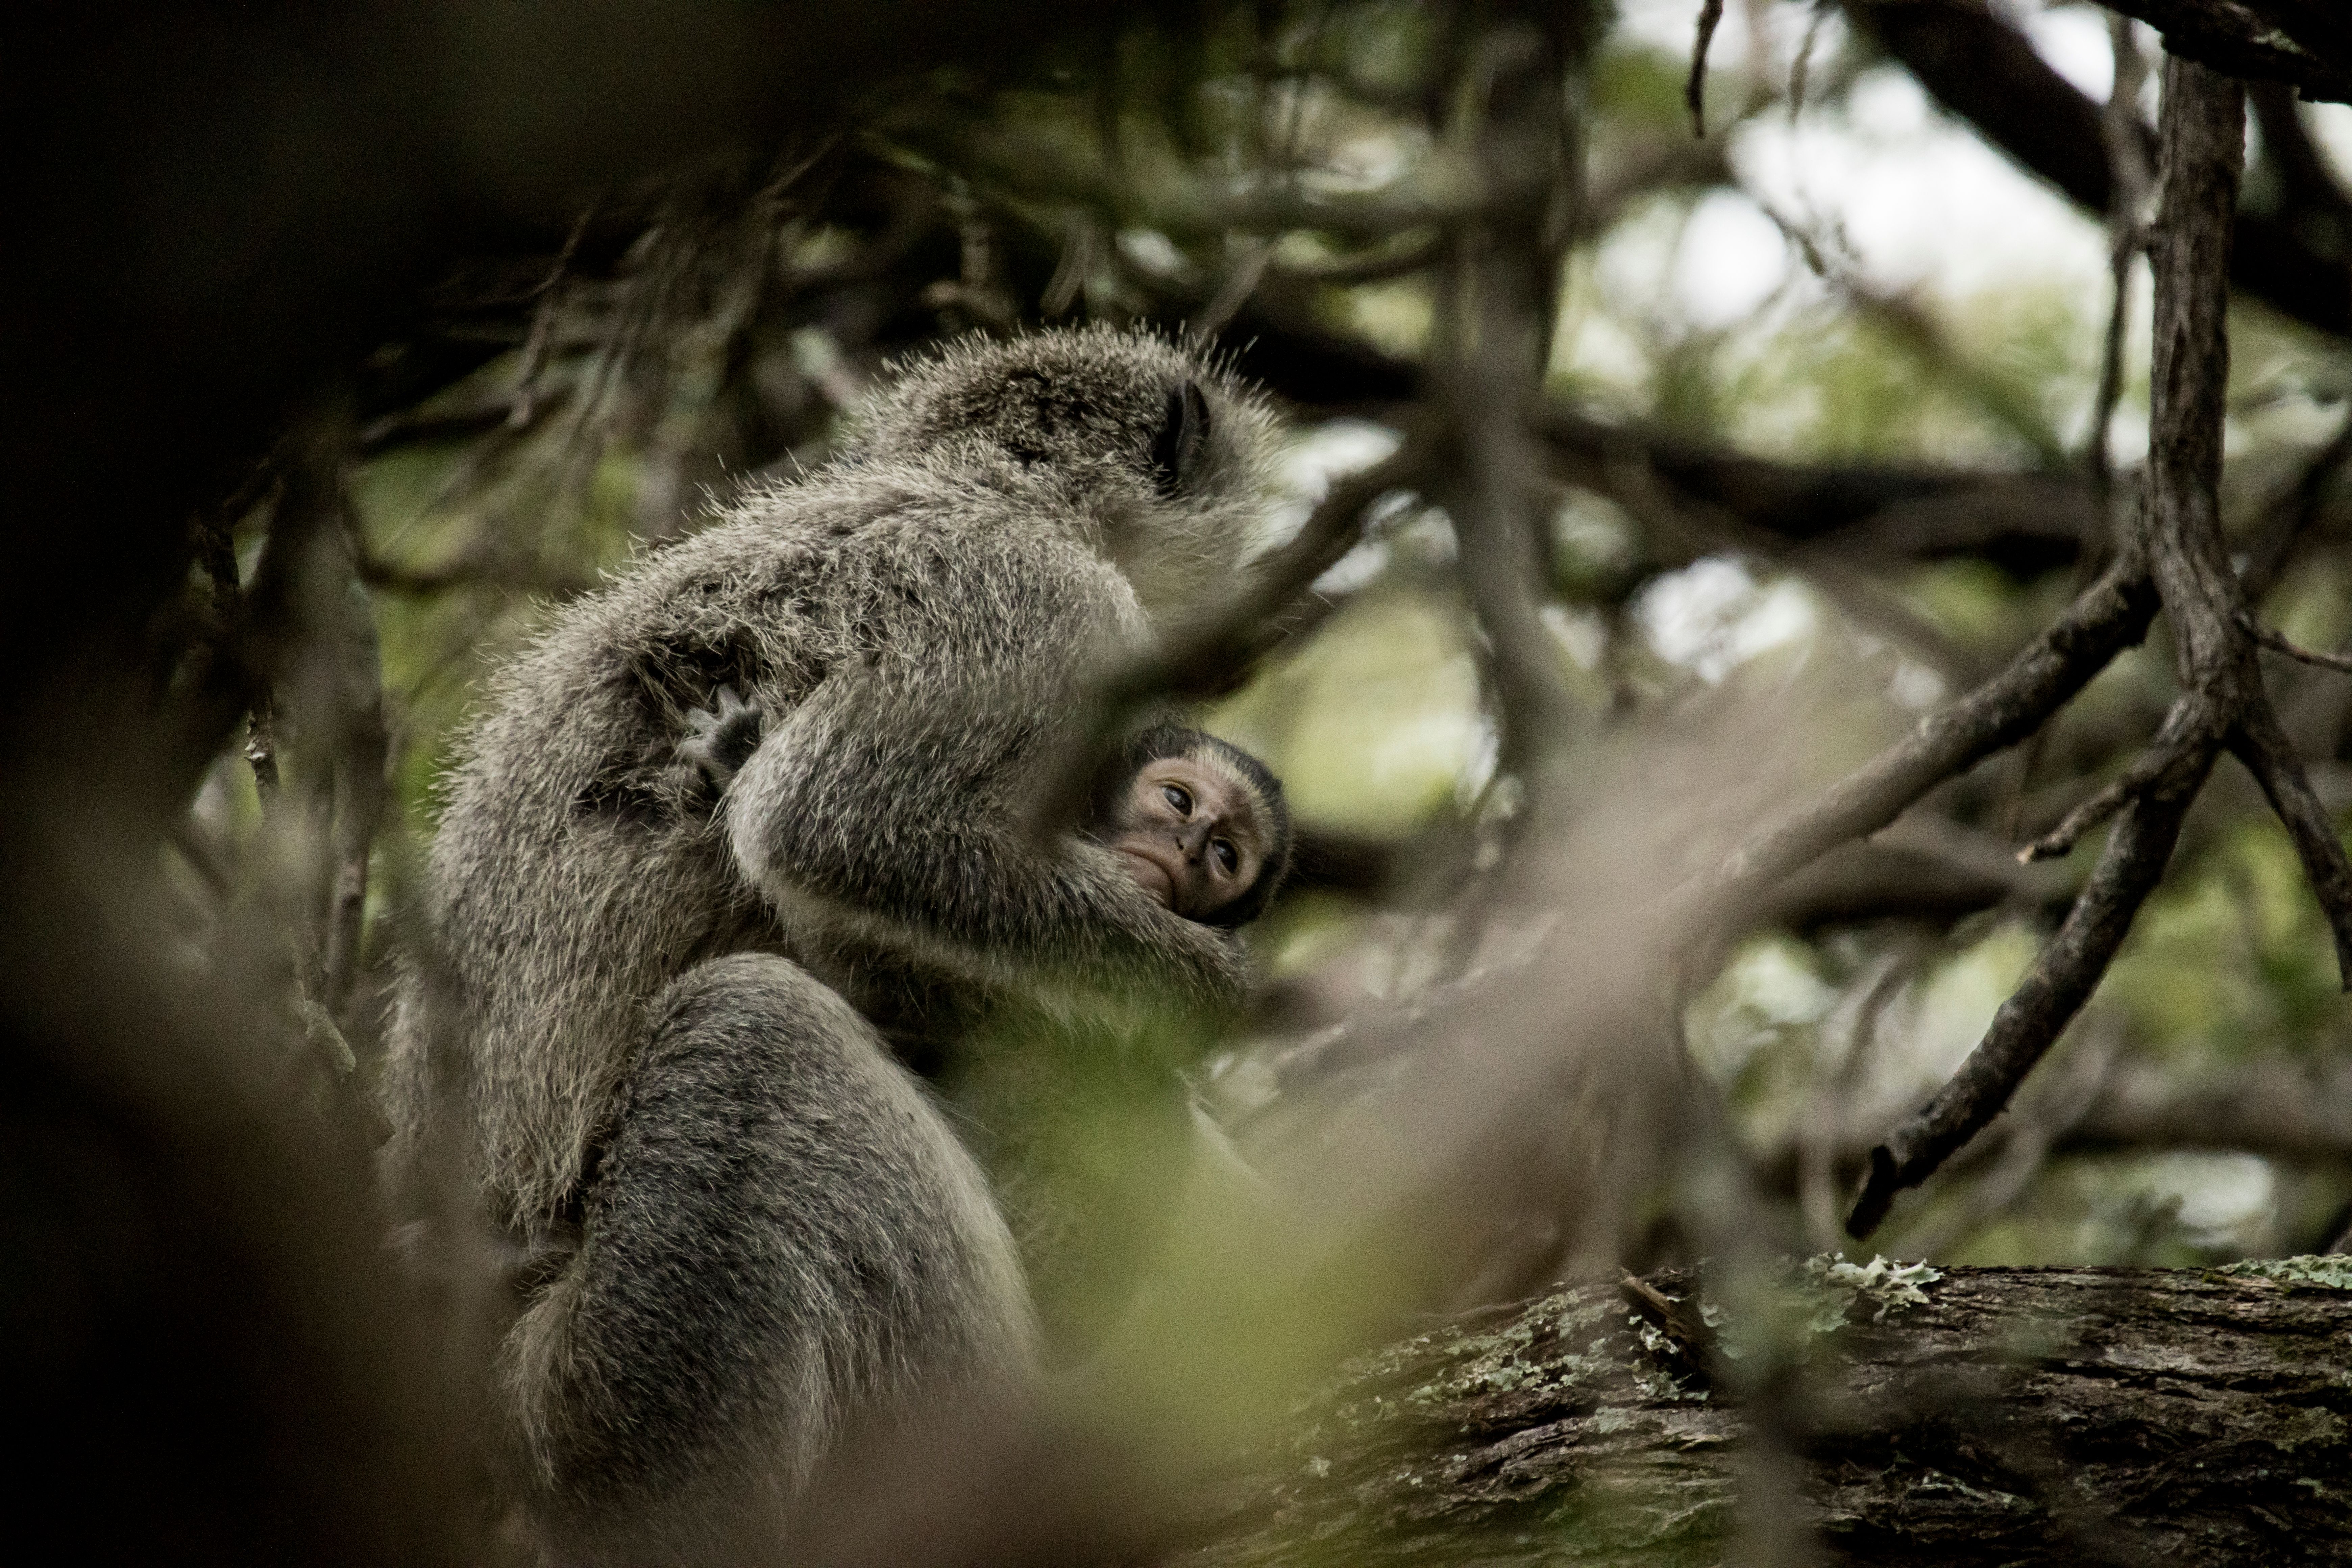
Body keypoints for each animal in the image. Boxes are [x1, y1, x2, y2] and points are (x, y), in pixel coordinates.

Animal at [379, 327, 1283, 1564]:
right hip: (629, 1399)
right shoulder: (1034, 604)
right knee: (760, 1032)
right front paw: (1207, 991)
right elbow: (840, 829)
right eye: (1178, 803)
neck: (978, 488)